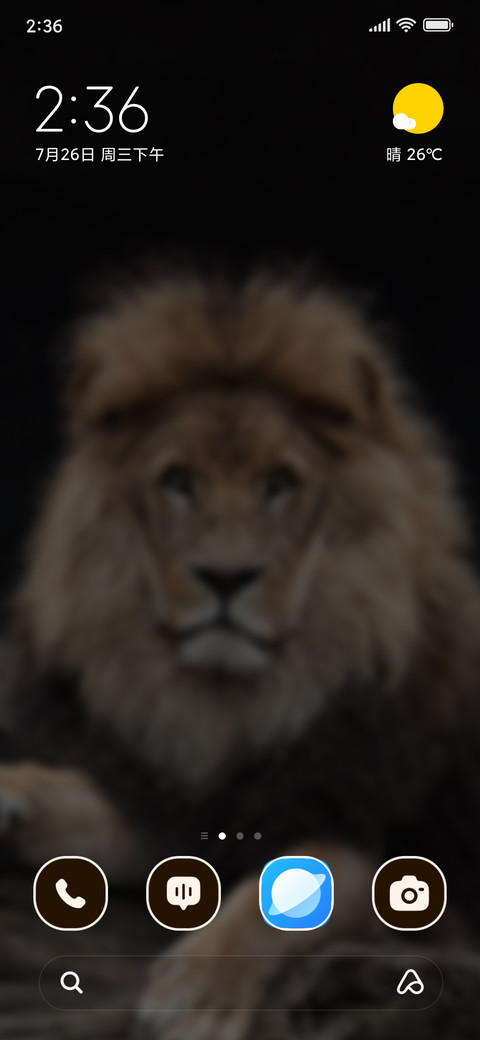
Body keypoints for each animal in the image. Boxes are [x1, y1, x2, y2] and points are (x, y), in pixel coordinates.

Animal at [1, 272, 480, 1039]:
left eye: (279, 483)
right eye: (178, 481)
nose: (226, 578)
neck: (232, 707)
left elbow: (323, 865)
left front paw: (196, 991)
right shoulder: (199, 801)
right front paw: (19, 789)